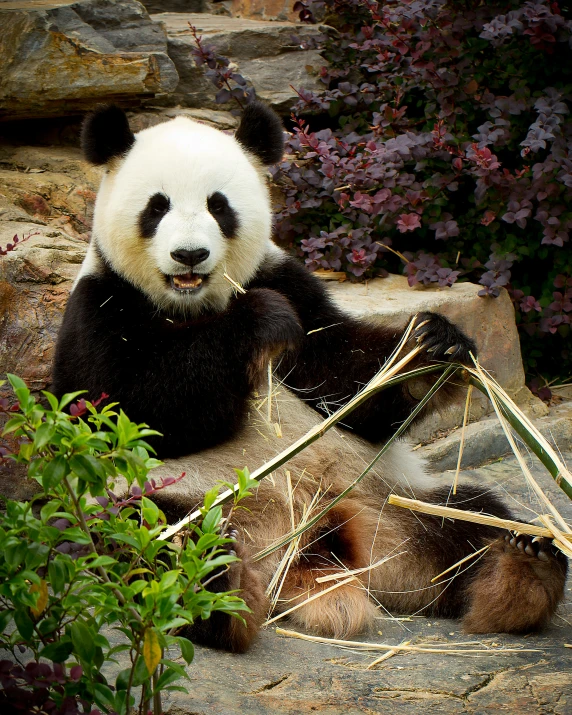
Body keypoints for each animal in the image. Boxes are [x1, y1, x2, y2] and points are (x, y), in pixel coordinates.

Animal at [52, 102, 568, 656]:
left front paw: (433, 347)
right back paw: (218, 588)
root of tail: (303, 553)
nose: (189, 255)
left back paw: (524, 568)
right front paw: (259, 322)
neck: (194, 305)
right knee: (146, 536)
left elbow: (345, 383)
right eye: (157, 206)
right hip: (172, 501)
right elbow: (131, 413)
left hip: (390, 501)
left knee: (471, 520)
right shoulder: (101, 308)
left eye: (219, 206)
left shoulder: (285, 279)